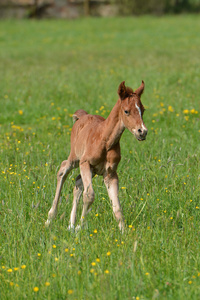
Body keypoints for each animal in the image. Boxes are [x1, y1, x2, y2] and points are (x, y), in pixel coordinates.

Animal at [45, 81, 148, 232]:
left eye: (143, 109)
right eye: (126, 111)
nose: (142, 132)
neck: (105, 140)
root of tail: (82, 115)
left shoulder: (110, 173)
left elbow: (116, 206)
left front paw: (123, 232)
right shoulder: (85, 163)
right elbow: (89, 195)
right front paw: (80, 227)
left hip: (92, 171)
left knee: (77, 182)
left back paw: (71, 224)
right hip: (76, 158)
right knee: (63, 169)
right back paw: (50, 219)